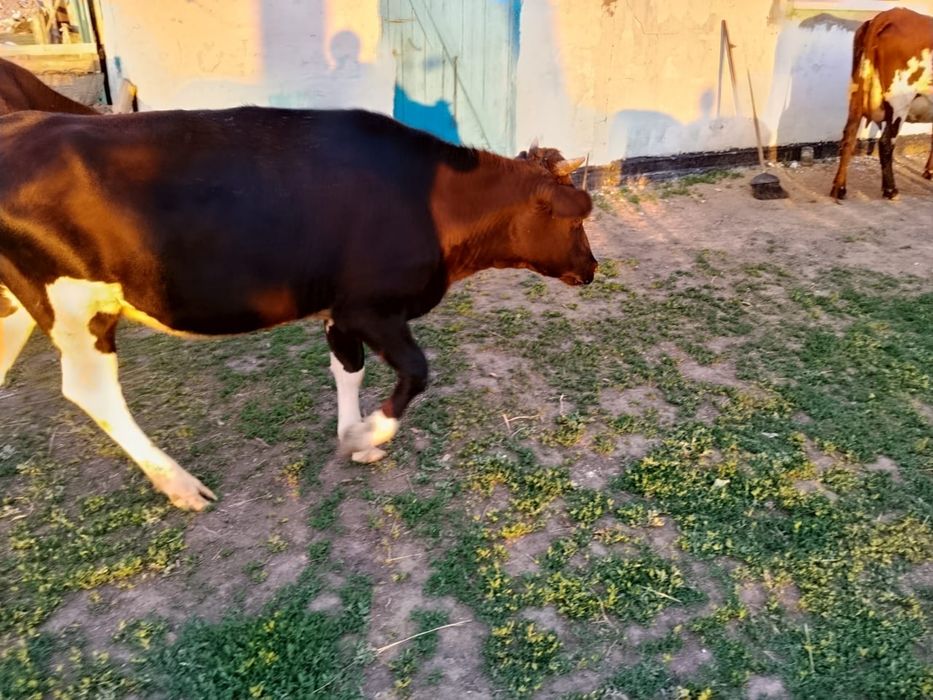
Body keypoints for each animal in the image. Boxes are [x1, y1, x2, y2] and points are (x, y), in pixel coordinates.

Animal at [0, 107, 596, 510]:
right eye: (576, 218)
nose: (592, 267)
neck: (433, 203)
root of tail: (22, 124)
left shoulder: (340, 309)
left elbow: (348, 369)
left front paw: (352, 437)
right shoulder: (372, 307)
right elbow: (416, 371)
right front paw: (368, 434)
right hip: (76, 305)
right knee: (93, 391)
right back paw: (178, 483)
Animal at [830, 7, 933, 199]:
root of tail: (891, 14)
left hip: (857, 94)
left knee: (849, 135)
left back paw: (839, 188)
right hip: (900, 101)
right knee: (885, 142)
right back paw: (890, 189)